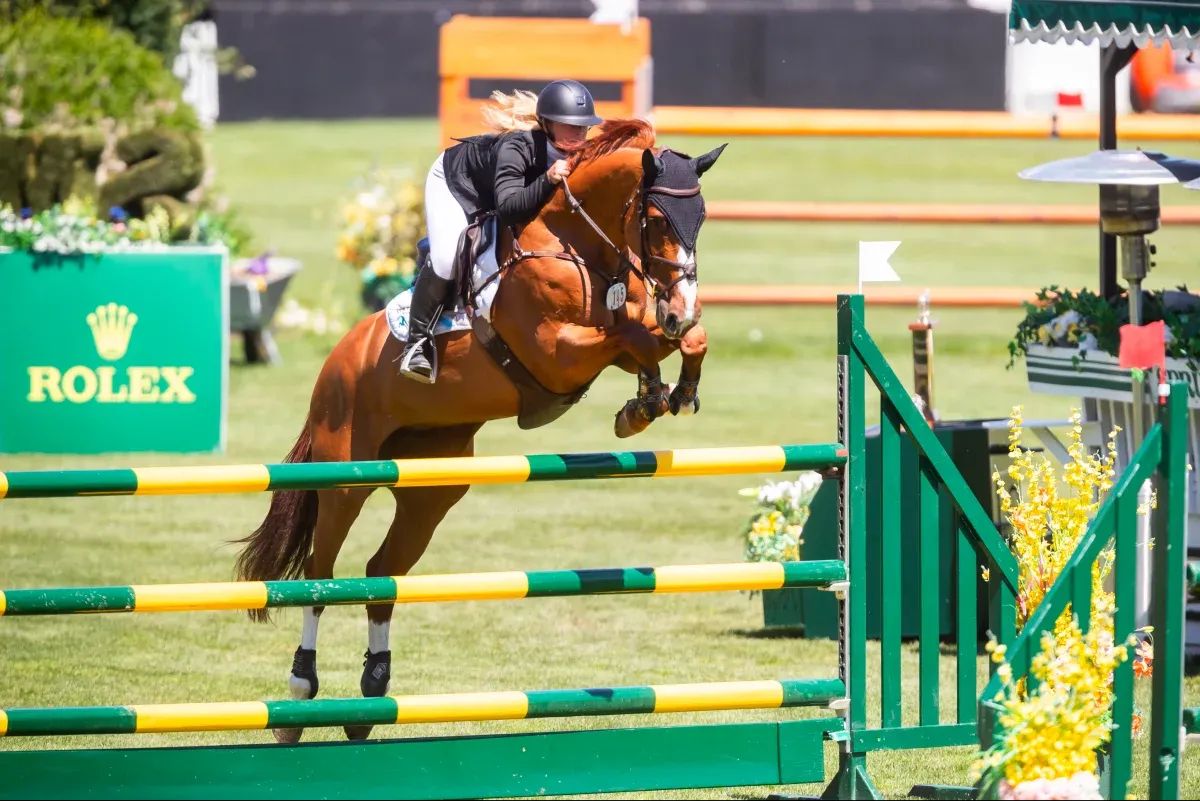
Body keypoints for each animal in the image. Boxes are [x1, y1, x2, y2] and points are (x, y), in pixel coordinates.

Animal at [234, 119, 725, 742]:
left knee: (380, 575)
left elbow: (664, 338)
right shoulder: (556, 353)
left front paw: (659, 397)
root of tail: (337, 363)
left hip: (432, 489)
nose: (681, 306)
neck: (577, 243)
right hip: (346, 478)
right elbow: (633, 337)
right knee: (321, 578)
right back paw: (299, 695)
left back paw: (372, 694)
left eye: (701, 217)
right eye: (658, 219)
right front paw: (650, 395)